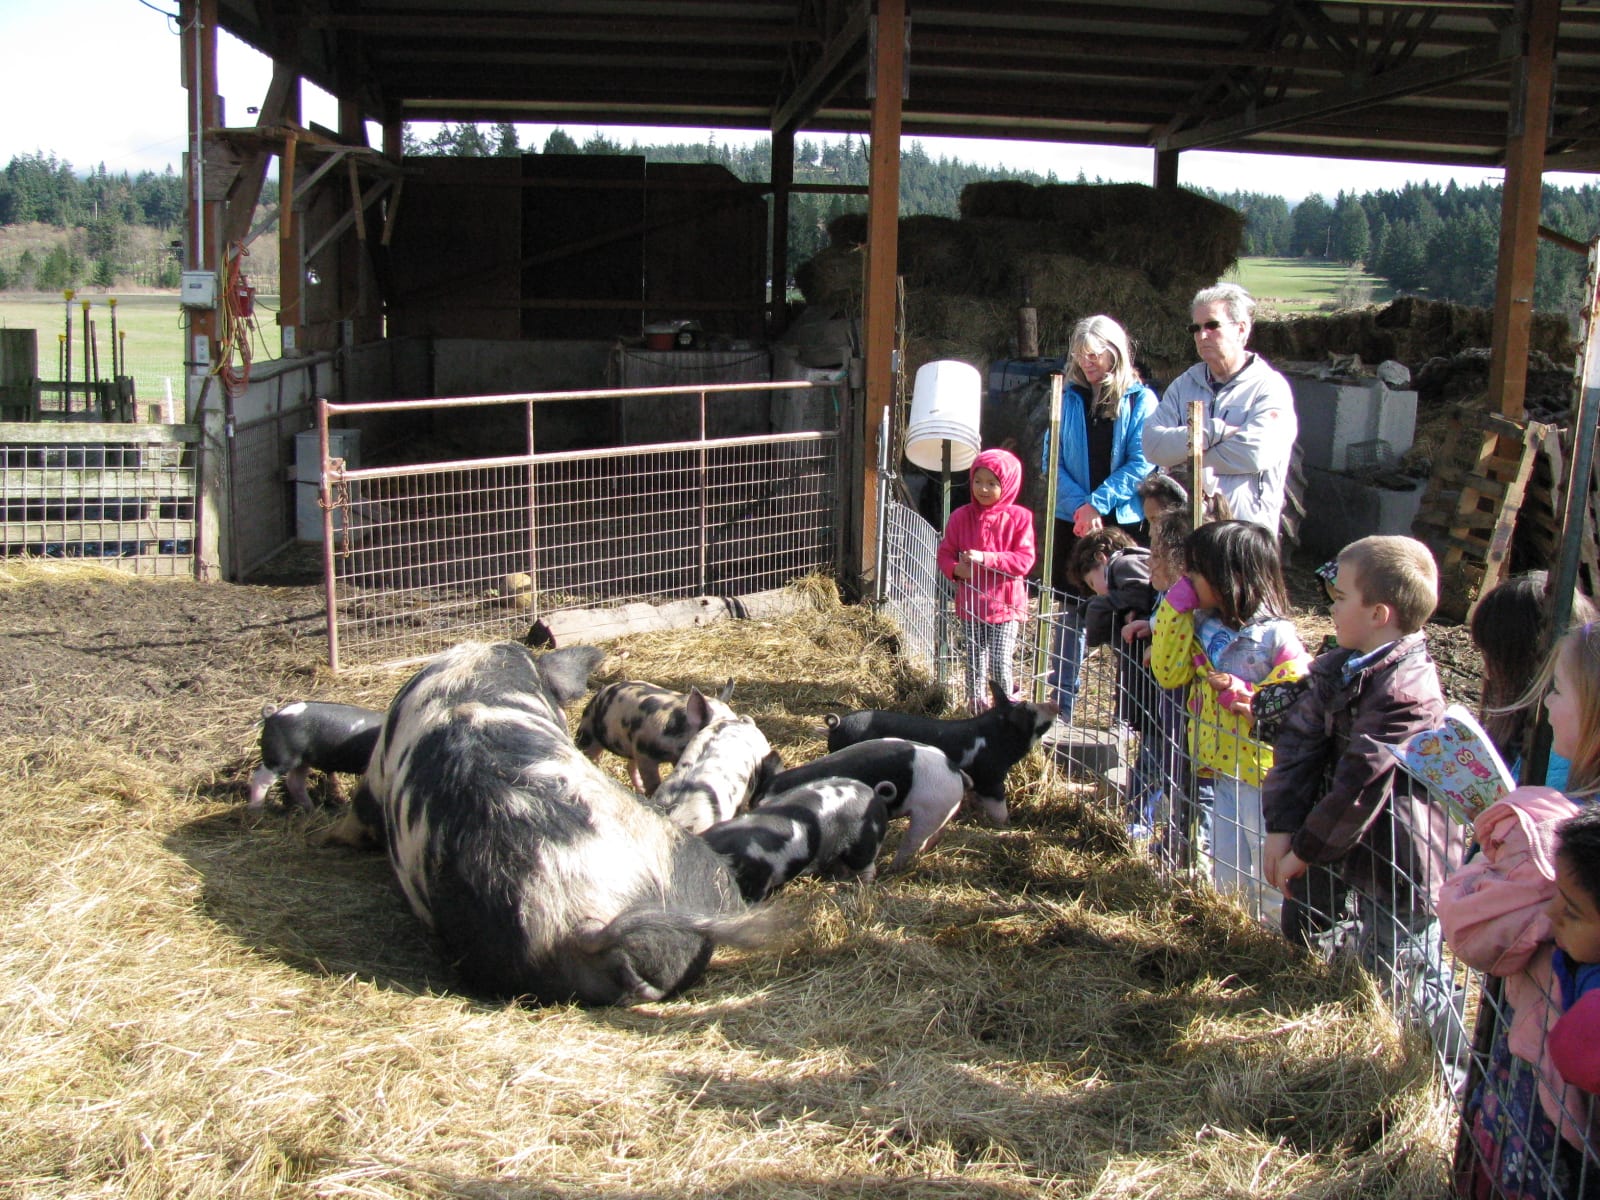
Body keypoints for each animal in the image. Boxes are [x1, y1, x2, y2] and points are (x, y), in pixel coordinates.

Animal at [582, 681, 736, 793]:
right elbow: (653, 782)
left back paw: (640, 789)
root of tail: (600, 693)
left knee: (630, 765)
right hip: (588, 730)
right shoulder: (644, 752)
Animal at [755, 742, 966, 876]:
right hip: (941, 812)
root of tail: (956, 772)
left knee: (912, 842)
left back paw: (892, 869)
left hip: (930, 811)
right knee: (935, 835)